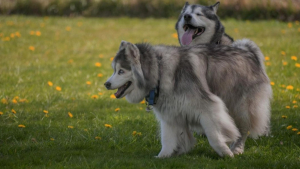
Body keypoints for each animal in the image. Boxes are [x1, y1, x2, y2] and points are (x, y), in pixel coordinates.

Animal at [105, 39, 272, 157]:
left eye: (121, 71)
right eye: (114, 70)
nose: (106, 84)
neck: (159, 72)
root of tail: (248, 51)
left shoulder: (209, 108)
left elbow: (214, 135)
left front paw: (225, 153)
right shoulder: (170, 114)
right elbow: (168, 138)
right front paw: (164, 156)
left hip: (240, 107)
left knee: (243, 130)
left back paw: (237, 148)